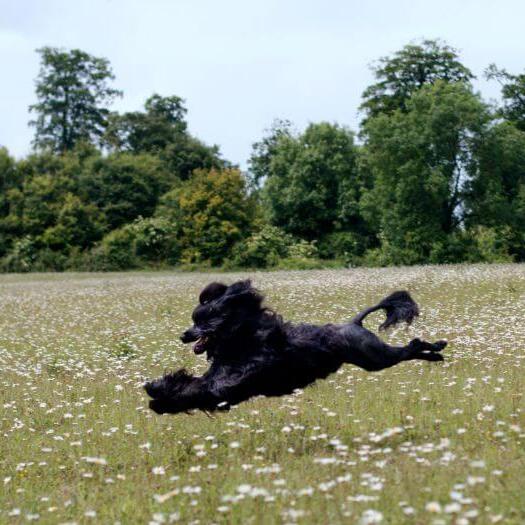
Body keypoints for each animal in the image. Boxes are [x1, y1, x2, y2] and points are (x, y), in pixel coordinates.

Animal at [144, 278, 446, 414]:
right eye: (194, 319)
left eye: (204, 320)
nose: (183, 335)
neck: (243, 339)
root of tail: (354, 323)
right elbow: (189, 384)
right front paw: (155, 390)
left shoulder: (230, 384)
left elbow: (199, 391)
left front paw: (158, 398)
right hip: (372, 358)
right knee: (407, 352)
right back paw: (437, 352)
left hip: (373, 357)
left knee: (409, 347)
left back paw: (436, 348)